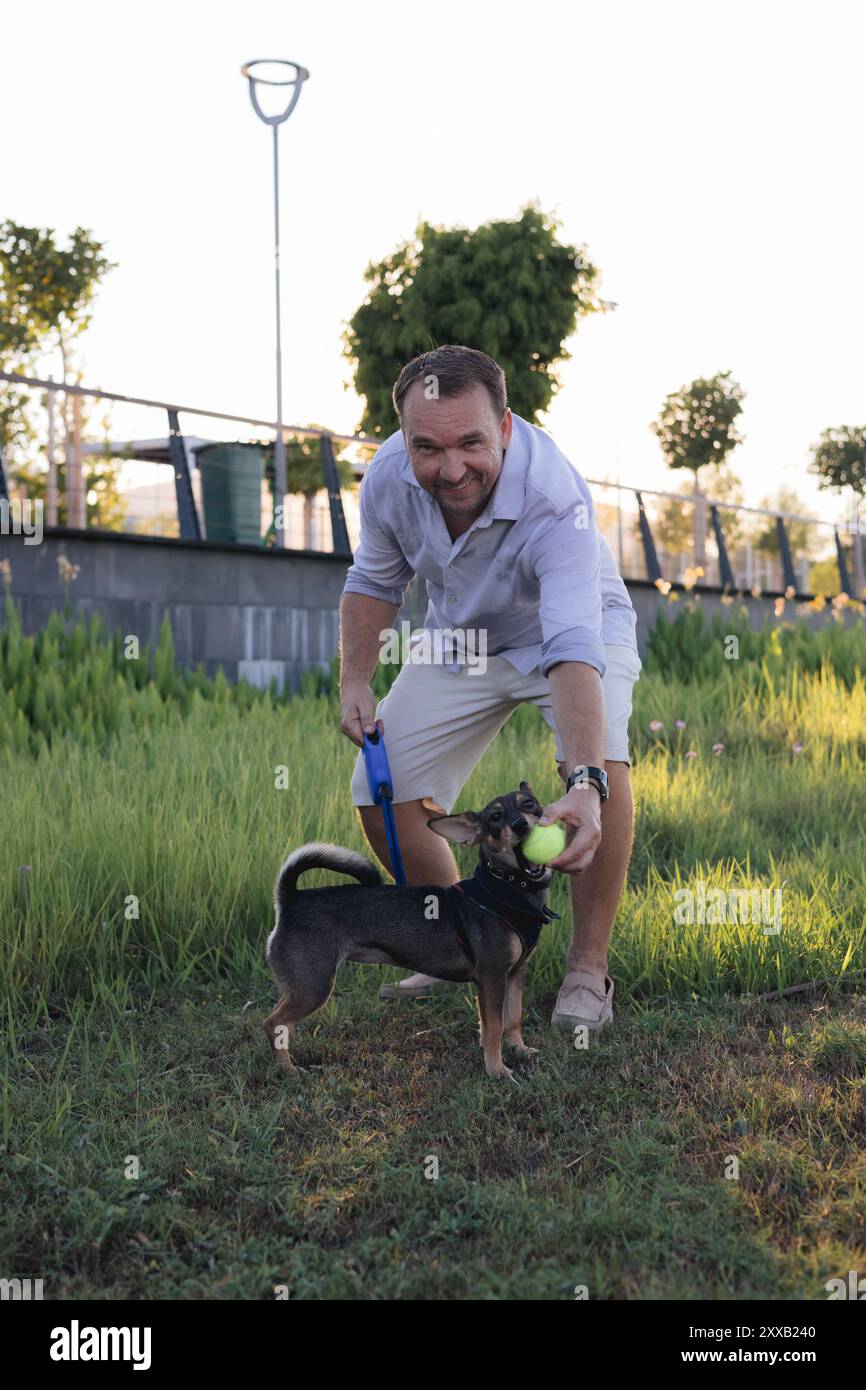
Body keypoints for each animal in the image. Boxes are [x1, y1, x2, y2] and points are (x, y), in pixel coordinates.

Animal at [265, 783, 561, 1073]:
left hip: (301, 986)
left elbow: (512, 1019)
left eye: (529, 804)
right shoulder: (492, 977)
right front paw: (497, 1070)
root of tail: (290, 898)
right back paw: (288, 1070)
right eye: (496, 817)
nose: (521, 825)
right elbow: (495, 1028)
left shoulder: (514, 974)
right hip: (313, 987)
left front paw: (519, 1050)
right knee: (273, 1023)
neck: (507, 888)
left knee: (281, 1022)